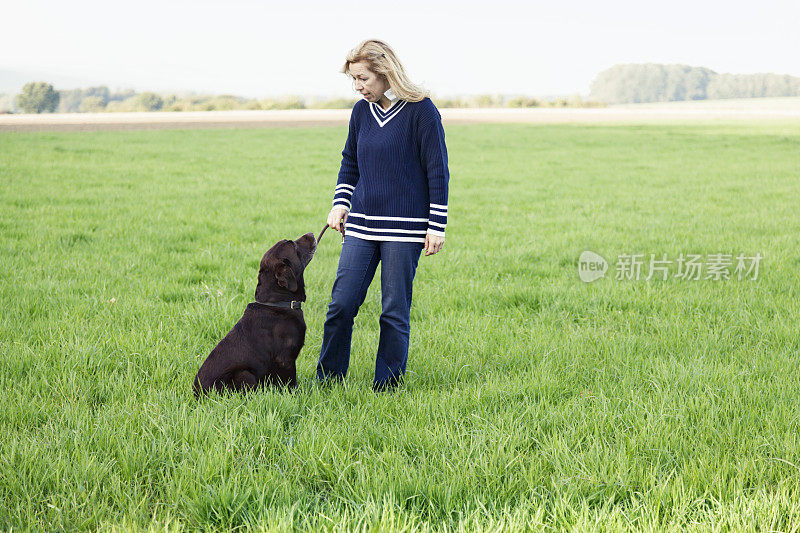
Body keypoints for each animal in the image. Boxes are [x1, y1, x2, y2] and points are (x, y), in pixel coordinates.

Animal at [192, 231, 318, 396]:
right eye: (293, 244)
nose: (311, 233)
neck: (277, 303)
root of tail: (198, 394)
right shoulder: (285, 359)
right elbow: (291, 384)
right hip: (244, 374)